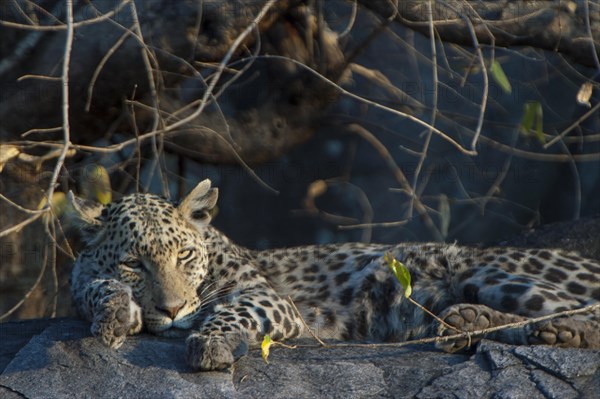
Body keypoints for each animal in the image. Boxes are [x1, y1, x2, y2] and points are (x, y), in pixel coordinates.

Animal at [69, 179, 600, 372]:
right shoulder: (80, 283)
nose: (175, 309)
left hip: (488, 268)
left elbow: (231, 312)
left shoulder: (272, 300)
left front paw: (211, 343)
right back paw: (465, 323)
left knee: (585, 315)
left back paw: (558, 331)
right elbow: (92, 287)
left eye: (183, 256)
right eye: (135, 264)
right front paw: (115, 313)